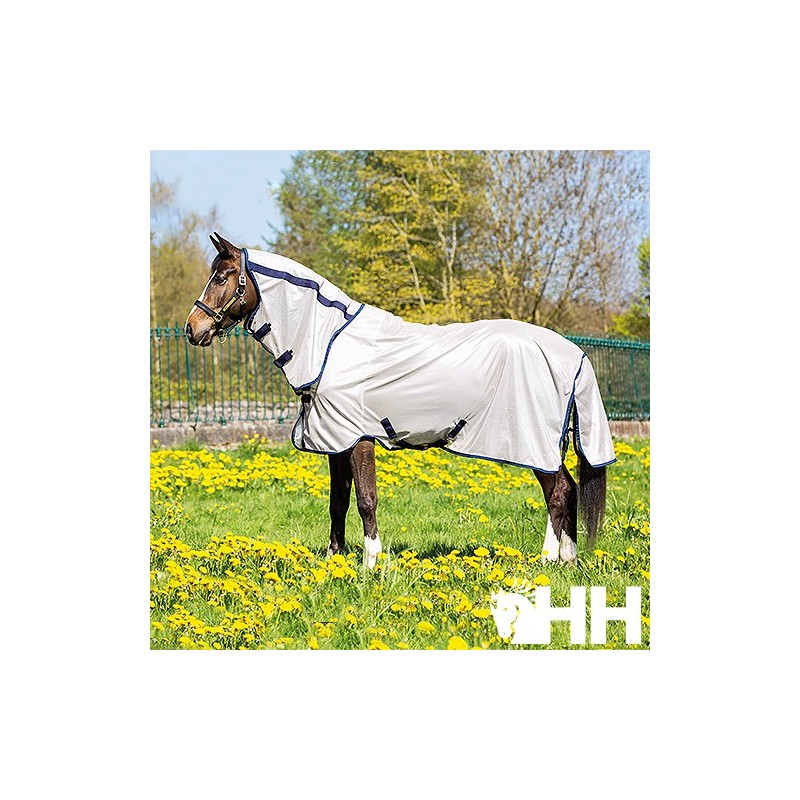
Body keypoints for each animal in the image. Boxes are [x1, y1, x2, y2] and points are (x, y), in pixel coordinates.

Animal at [185, 233, 616, 568]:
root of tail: (571, 352)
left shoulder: (357, 438)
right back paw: (566, 559)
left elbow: (366, 499)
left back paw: (546, 561)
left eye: (221, 277)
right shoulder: (336, 440)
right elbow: (338, 501)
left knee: (558, 494)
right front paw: (335, 559)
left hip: (534, 442)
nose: (193, 328)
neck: (329, 343)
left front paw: (371, 563)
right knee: (568, 491)